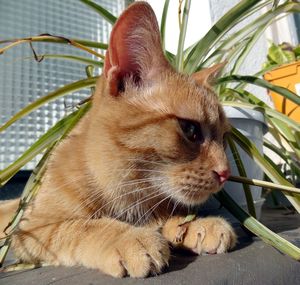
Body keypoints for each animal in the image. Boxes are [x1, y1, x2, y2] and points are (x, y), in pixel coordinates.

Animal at [1, 1, 237, 278]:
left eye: (224, 138)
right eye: (190, 130)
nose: (225, 173)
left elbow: (170, 216)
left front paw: (193, 224)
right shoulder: (33, 230)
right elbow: (82, 226)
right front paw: (126, 238)